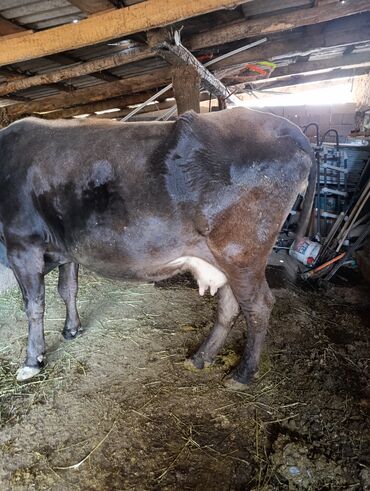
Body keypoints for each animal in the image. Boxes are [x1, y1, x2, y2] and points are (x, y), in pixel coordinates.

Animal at [0, 107, 316, 388]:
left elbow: (34, 305)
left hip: (240, 254)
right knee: (230, 306)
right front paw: (71, 329)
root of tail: (294, 132)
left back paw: (243, 374)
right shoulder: (66, 248)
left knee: (259, 306)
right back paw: (201, 357)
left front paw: (32, 360)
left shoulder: (22, 244)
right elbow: (67, 289)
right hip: (225, 260)